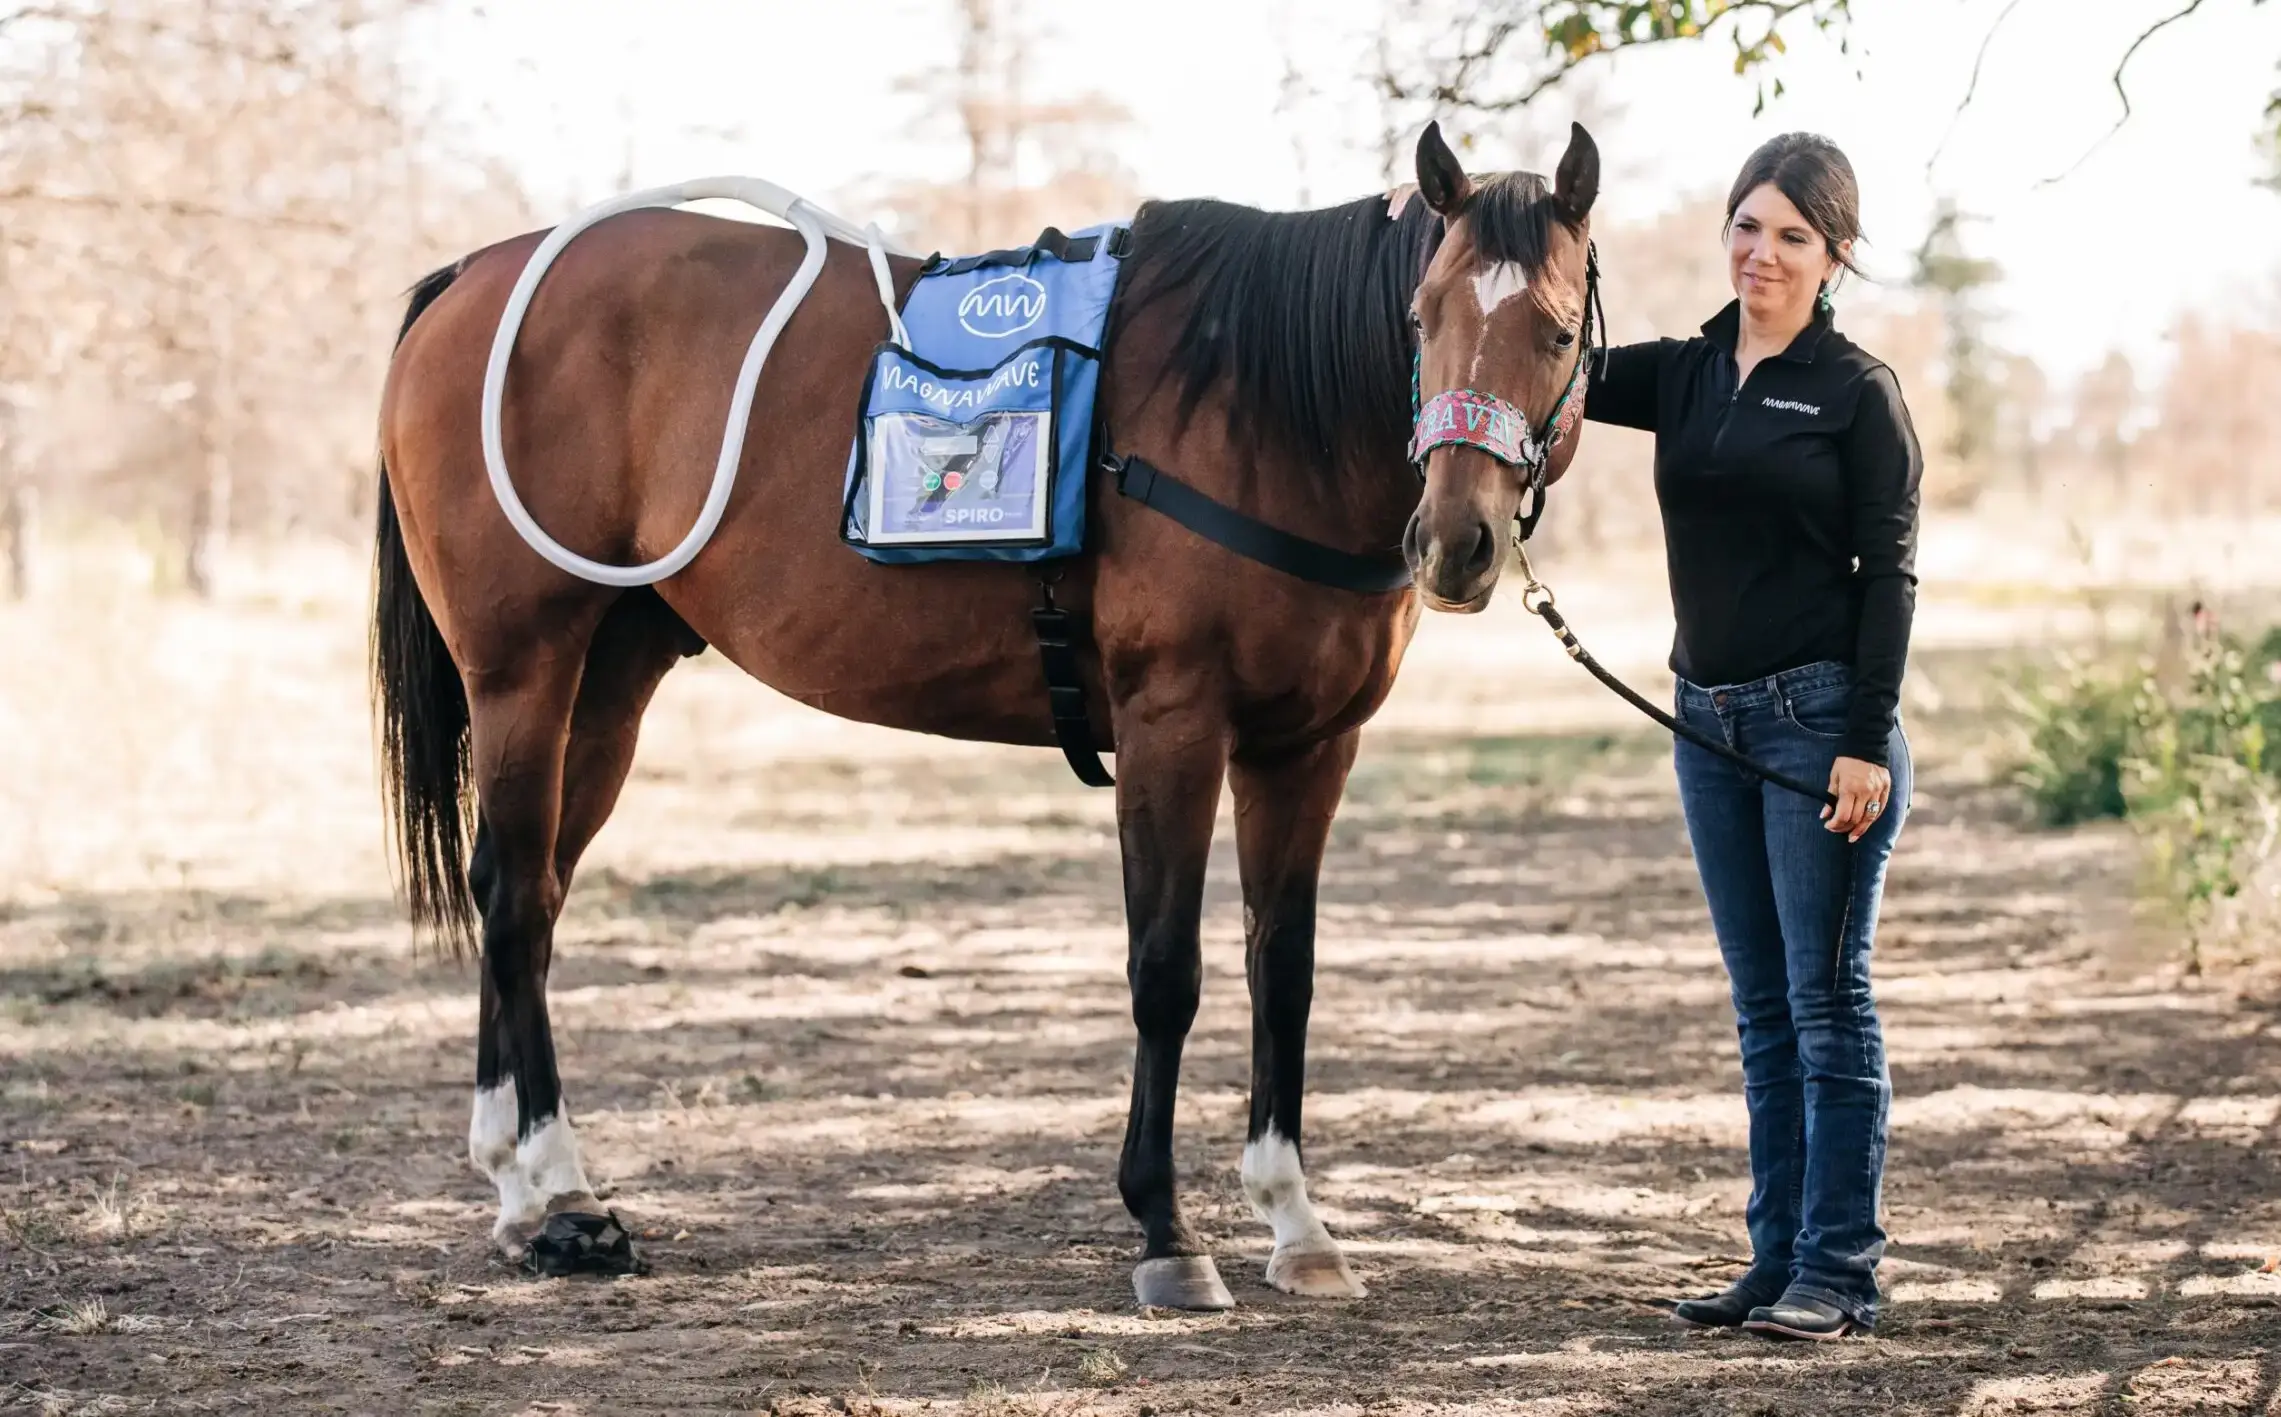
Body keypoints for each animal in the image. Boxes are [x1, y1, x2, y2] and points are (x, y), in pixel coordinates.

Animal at [372, 120, 1599, 1307]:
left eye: (1553, 334)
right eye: (1420, 315)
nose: (1455, 539)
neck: (1259, 405)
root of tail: (476, 274)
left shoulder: (1305, 749)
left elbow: (1280, 974)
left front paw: (1295, 1220)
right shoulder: (1172, 726)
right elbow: (1166, 973)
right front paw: (1165, 1228)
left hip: (609, 681)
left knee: (525, 894)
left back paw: (520, 1193)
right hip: (525, 669)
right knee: (515, 898)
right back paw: (562, 1197)